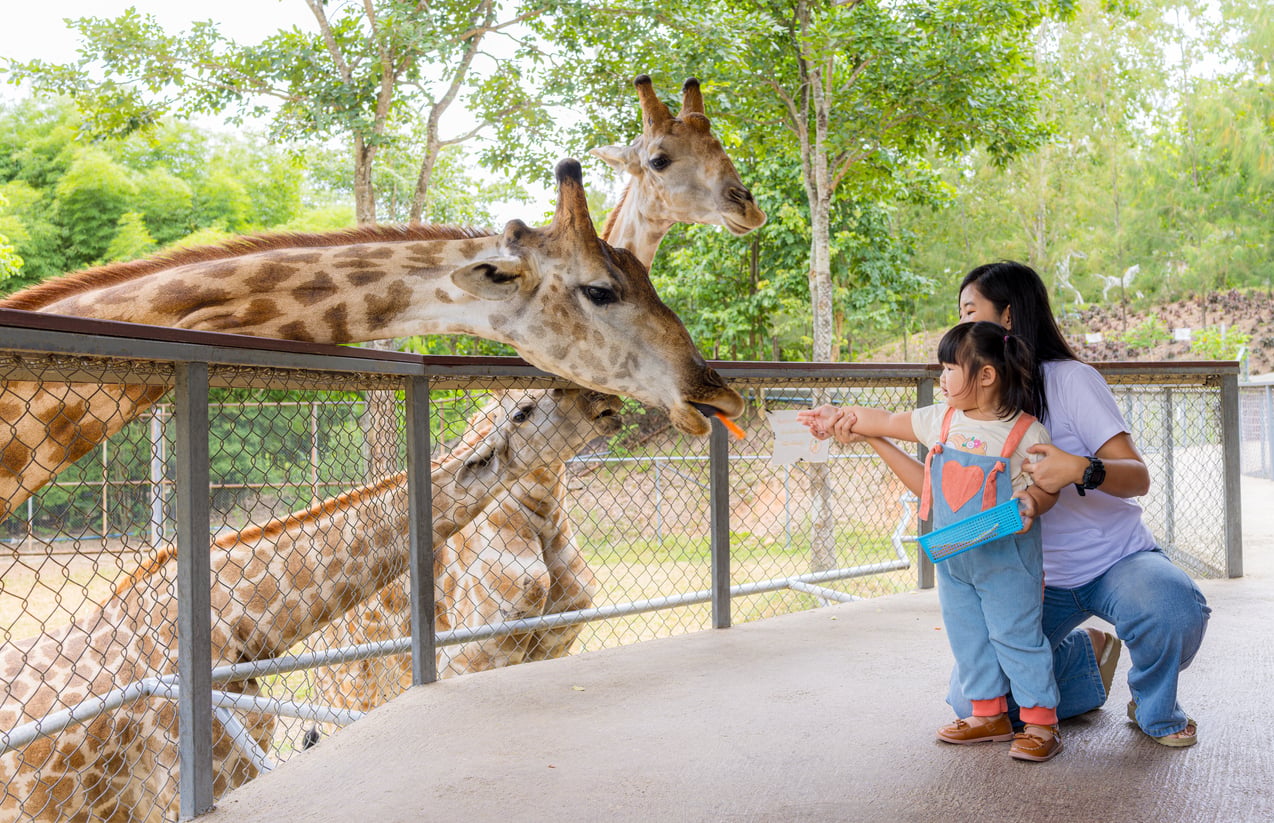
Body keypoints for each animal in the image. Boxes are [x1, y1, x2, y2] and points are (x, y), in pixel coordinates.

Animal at [309, 76, 769, 703]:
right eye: (659, 158)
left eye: (718, 142)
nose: (746, 204)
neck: (542, 495)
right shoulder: (471, 651)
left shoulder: (552, 638)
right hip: (353, 679)